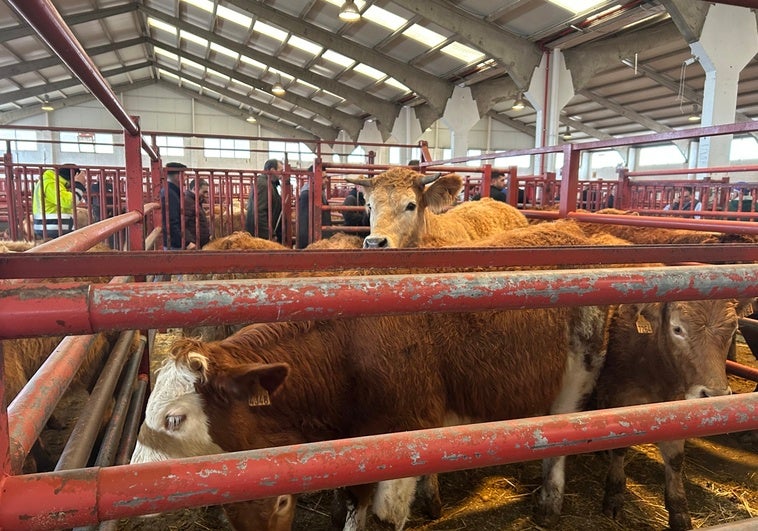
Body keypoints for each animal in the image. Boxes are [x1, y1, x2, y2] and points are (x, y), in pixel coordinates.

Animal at [596, 300, 756, 531]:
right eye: (677, 329)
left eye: (733, 329)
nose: (714, 395)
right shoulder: (620, 396)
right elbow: (619, 447)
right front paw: (614, 495)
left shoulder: (678, 409)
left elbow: (675, 459)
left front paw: (679, 511)